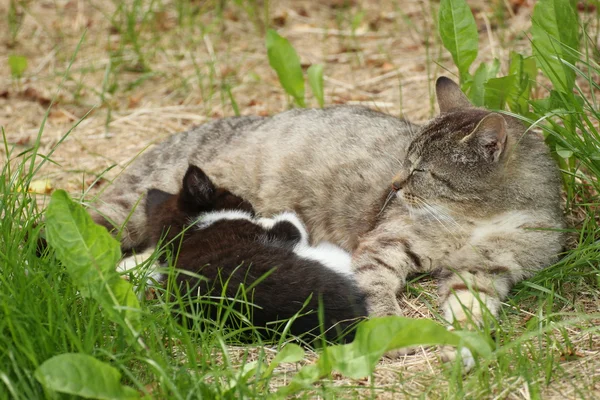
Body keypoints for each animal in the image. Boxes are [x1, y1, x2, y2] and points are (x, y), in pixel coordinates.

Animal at [118, 164, 368, 342]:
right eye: (242, 201)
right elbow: (290, 222)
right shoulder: (267, 232)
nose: (253, 208)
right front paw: (272, 218)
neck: (183, 236)